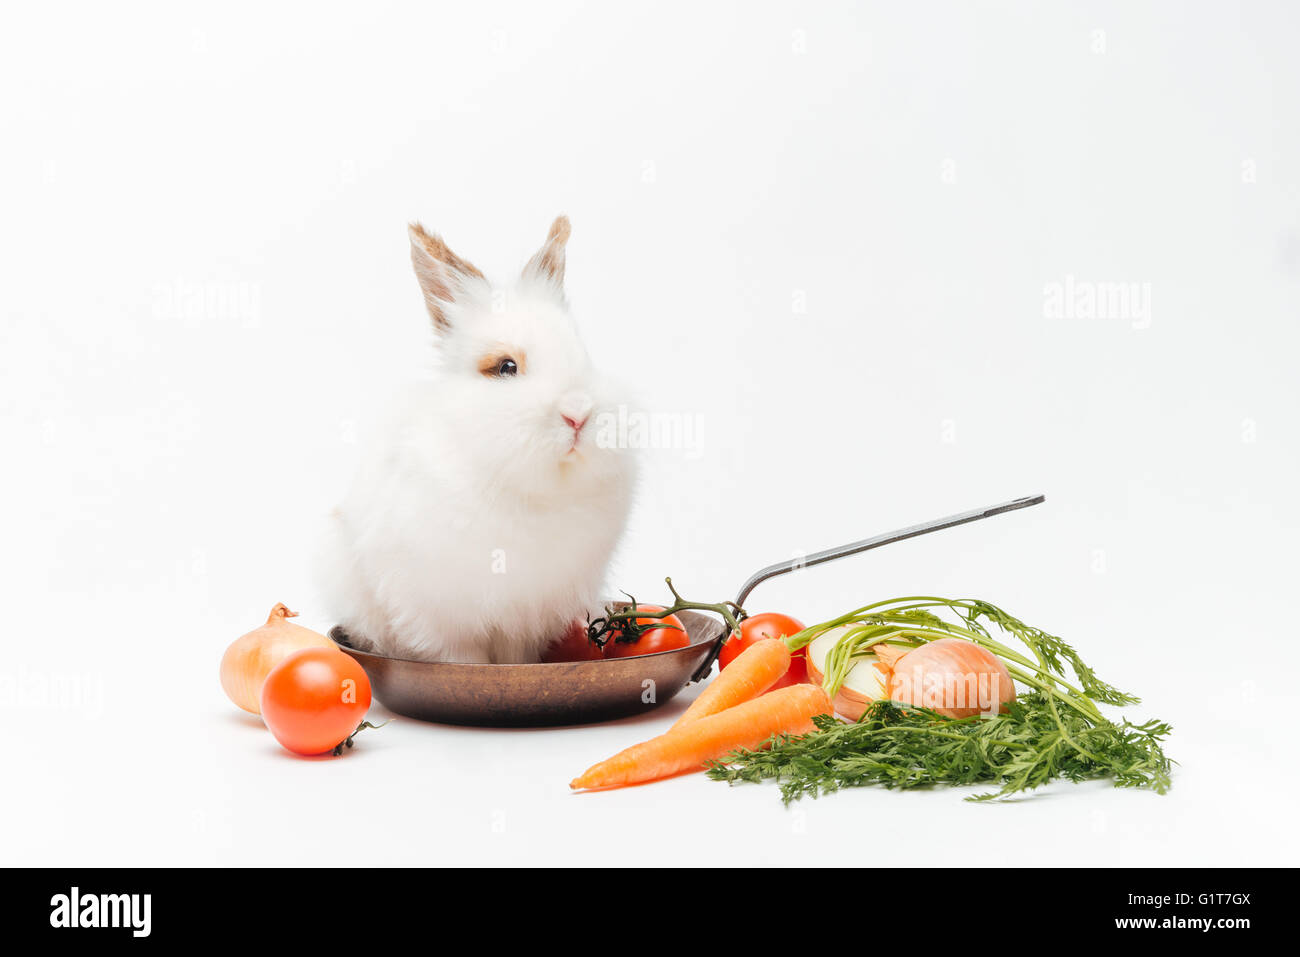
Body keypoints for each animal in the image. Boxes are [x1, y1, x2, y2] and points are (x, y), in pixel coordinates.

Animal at [317, 216, 637, 663]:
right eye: (505, 367)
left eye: (584, 357)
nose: (578, 414)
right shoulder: (439, 617)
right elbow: (463, 659)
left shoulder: (523, 621)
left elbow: (516, 661)